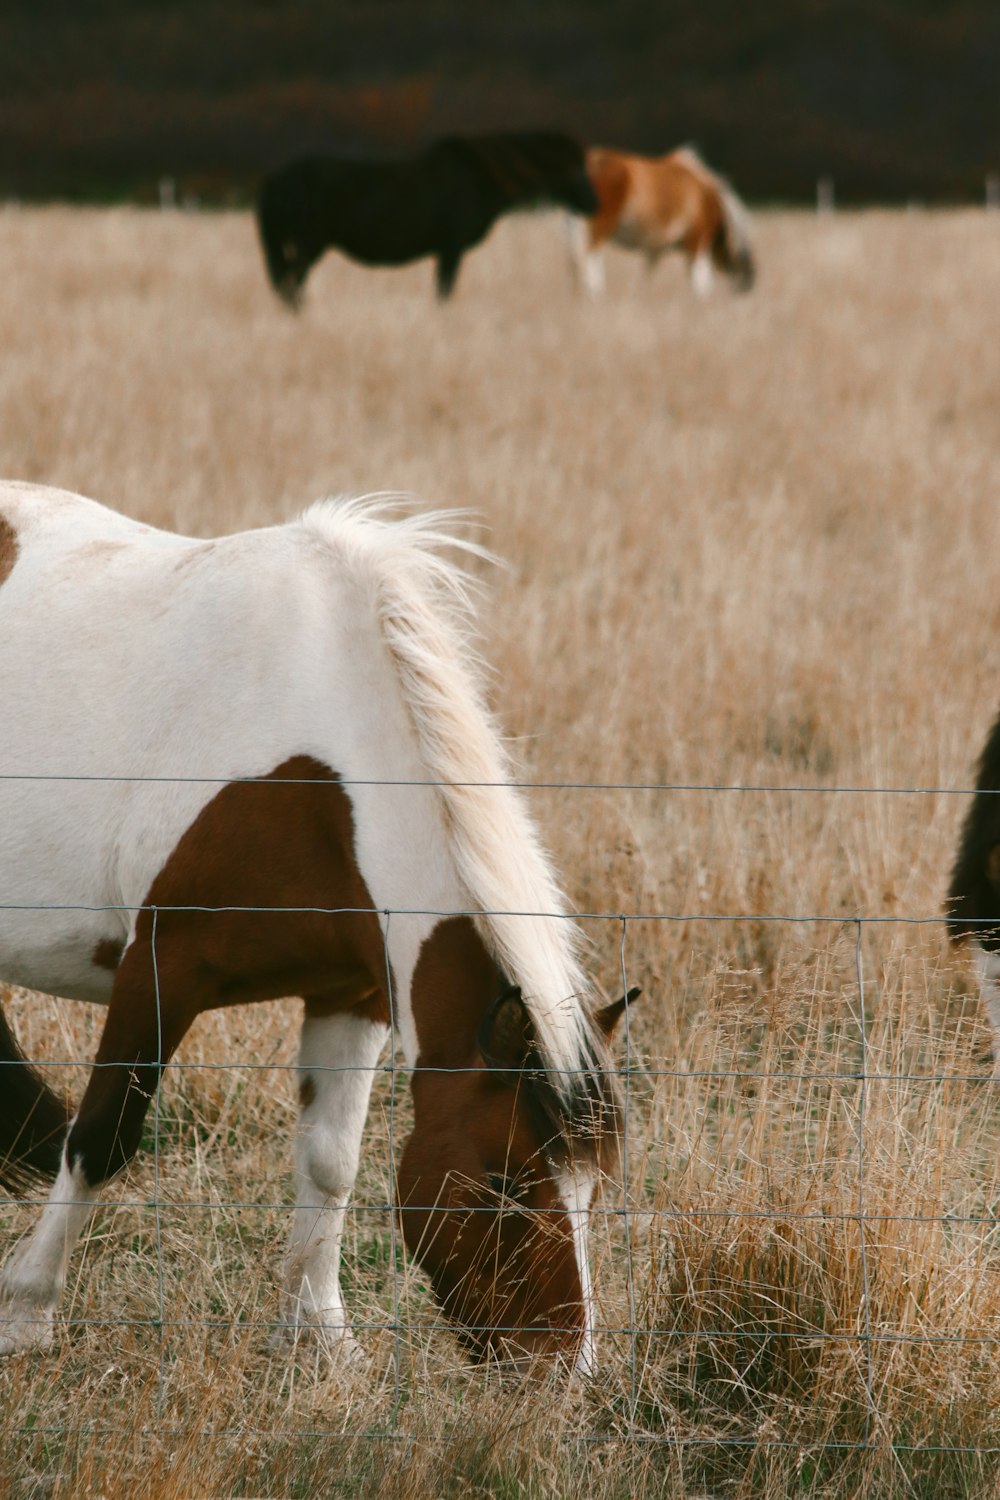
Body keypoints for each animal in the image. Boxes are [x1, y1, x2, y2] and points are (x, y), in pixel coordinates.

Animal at [0, 483, 632, 1374]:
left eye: (593, 1188)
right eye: (503, 1183)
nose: (561, 1372)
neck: (315, 776)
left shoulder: (354, 992)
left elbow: (332, 1163)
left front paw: (325, 1340)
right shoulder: (159, 969)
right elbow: (101, 1140)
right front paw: (27, 1313)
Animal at [260, 130, 602, 306]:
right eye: (575, 167)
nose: (594, 204)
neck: (481, 178)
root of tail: (276, 180)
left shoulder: (445, 250)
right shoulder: (451, 248)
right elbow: (444, 291)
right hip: (308, 245)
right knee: (291, 288)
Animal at [566, 145, 755, 298]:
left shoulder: (656, 250)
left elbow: (646, 278)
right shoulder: (697, 241)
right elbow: (702, 283)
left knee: (575, 264)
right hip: (600, 227)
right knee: (592, 261)